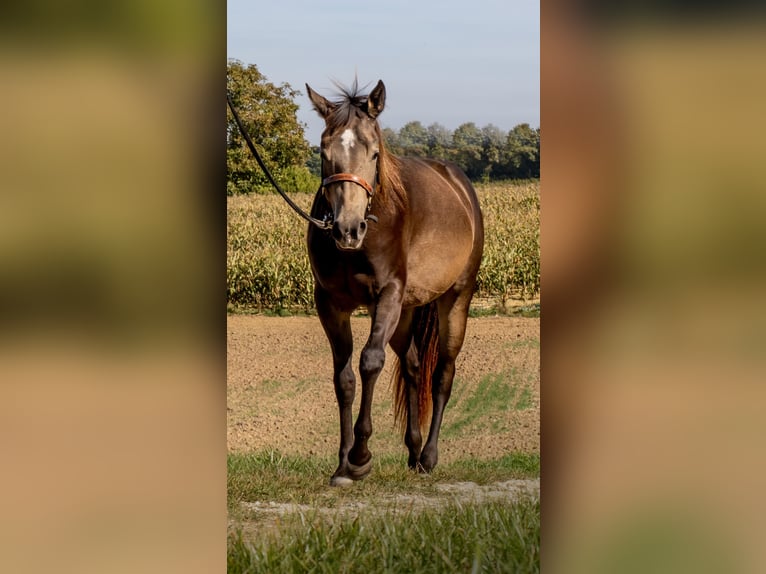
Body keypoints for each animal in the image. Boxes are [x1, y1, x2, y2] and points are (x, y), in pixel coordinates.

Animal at [305, 80, 484, 486]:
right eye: (324, 151)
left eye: (374, 154)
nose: (347, 229)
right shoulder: (330, 304)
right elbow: (344, 378)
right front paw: (342, 464)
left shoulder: (388, 294)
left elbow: (370, 361)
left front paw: (360, 456)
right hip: (406, 312)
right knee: (415, 366)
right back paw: (414, 451)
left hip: (455, 300)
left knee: (442, 375)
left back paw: (429, 456)